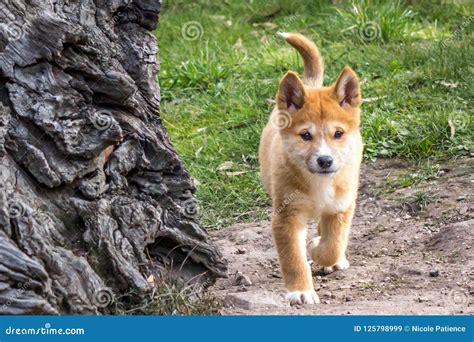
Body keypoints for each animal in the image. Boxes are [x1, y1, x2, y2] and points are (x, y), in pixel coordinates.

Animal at [260, 32, 362, 304]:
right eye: (305, 135)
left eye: (338, 133)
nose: (325, 160)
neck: (319, 183)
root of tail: (310, 83)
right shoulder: (286, 216)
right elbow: (293, 258)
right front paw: (301, 291)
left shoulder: (341, 206)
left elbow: (333, 244)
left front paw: (319, 250)